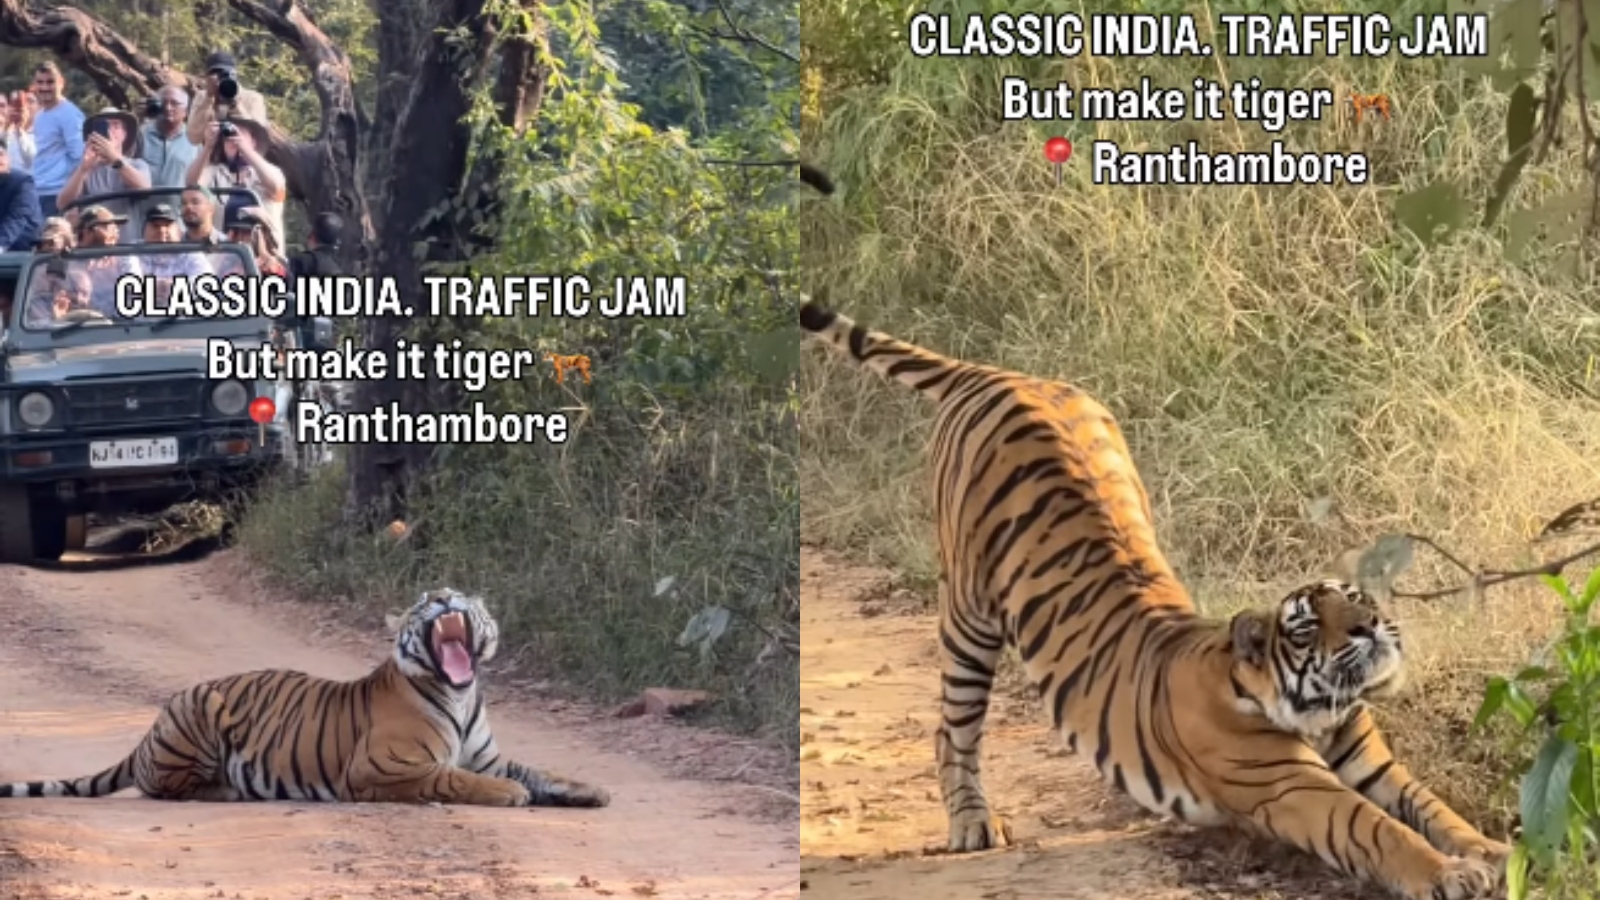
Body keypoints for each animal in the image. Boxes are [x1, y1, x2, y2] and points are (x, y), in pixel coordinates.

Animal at [0, 587, 610, 809]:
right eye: (423, 602)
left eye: (458, 595)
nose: (442, 599)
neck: (459, 696)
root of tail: (150, 727)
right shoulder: (383, 767)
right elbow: (455, 778)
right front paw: (510, 795)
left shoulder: (489, 755)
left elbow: (539, 770)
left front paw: (590, 789)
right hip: (201, 714)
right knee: (163, 786)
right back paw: (225, 790)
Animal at [800, 299, 1510, 900]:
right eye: (1310, 626)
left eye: (1356, 596)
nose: (1371, 626)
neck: (1313, 707)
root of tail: (997, 374)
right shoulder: (1294, 788)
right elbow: (1378, 831)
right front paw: (1449, 874)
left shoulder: (1372, 761)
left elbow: (1431, 806)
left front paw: (1491, 850)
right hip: (969, 616)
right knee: (953, 726)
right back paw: (972, 822)